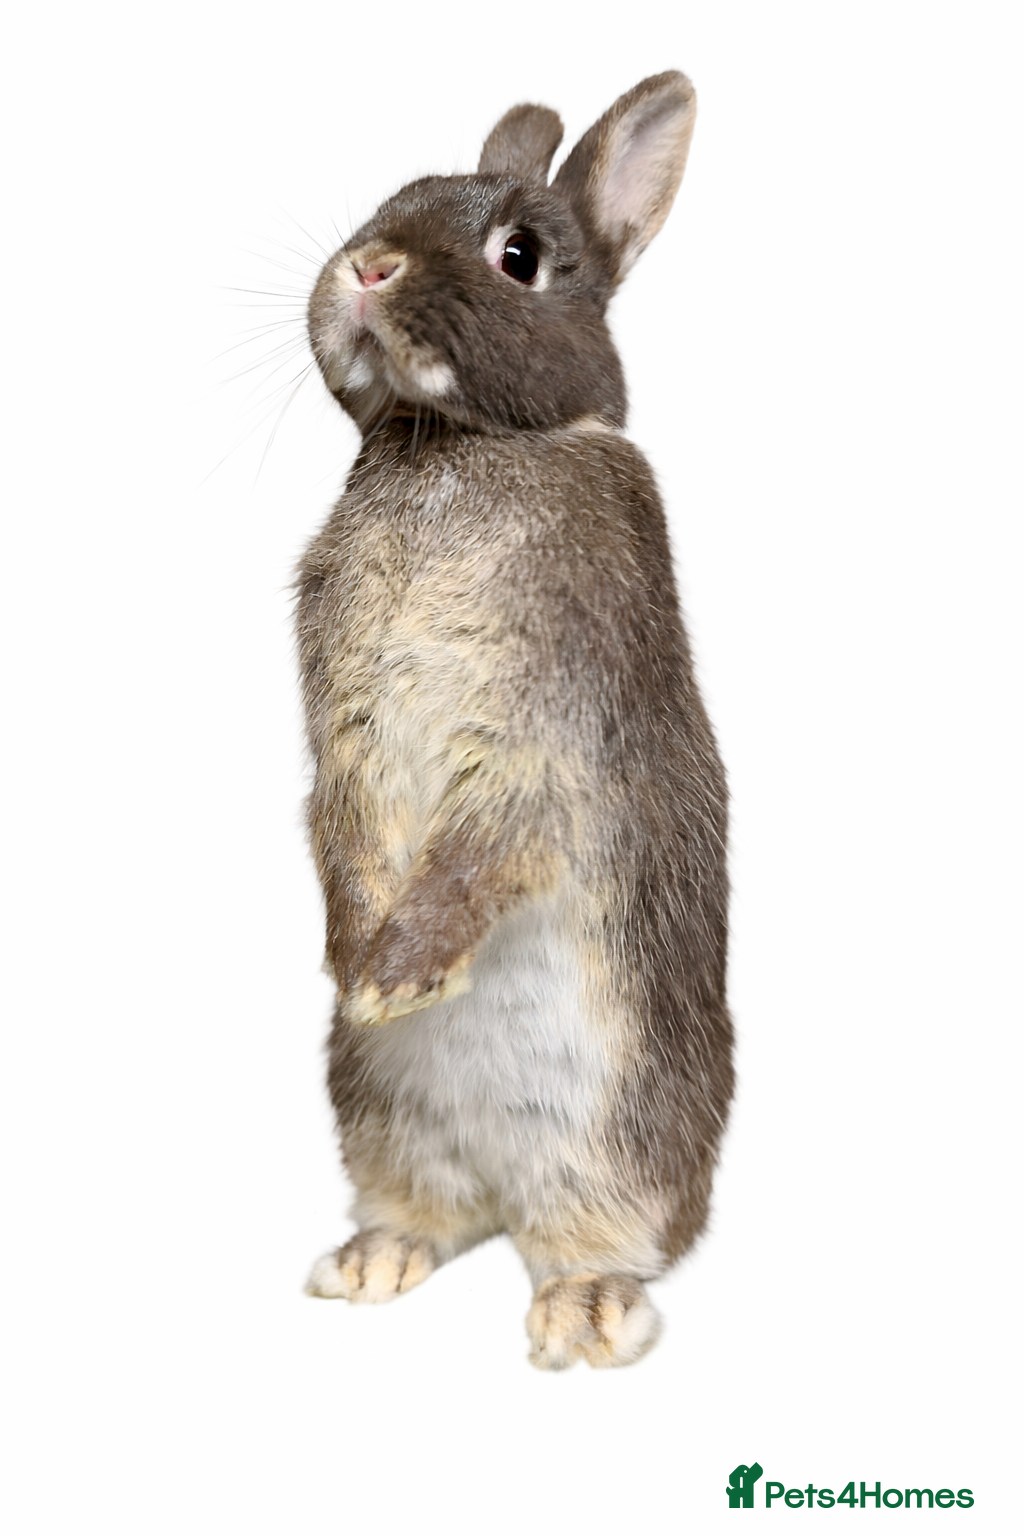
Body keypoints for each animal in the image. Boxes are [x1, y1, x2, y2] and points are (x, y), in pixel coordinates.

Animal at [298, 70, 733, 1369]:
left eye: (521, 257)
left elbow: (486, 845)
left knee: (597, 1229)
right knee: (426, 1208)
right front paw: (358, 964)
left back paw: (583, 1316)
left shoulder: (542, 738)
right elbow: (343, 826)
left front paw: (396, 977)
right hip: (381, 1118)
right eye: (392, 198)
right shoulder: (340, 733)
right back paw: (371, 1263)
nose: (367, 266)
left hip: (619, 1124)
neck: (456, 444)